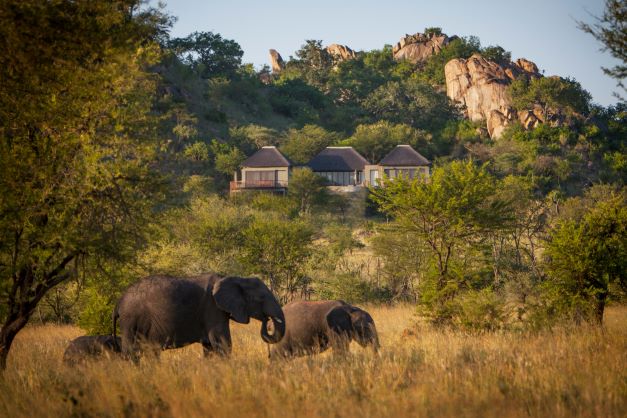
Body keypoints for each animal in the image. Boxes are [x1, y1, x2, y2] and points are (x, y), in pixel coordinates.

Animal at [114, 272, 286, 358]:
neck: (236, 278)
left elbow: (210, 347)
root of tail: (119, 302)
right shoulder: (213, 308)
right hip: (130, 319)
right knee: (131, 351)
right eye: (261, 298)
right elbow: (223, 343)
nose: (267, 320)